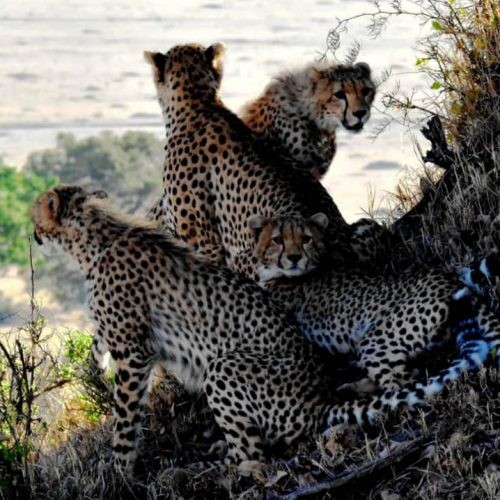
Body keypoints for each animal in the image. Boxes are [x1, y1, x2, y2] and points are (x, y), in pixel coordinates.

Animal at [247, 213, 500, 396]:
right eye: (278, 240)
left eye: (305, 239)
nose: (294, 257)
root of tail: (449, 279)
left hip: (376, 339)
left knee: (405, 380)